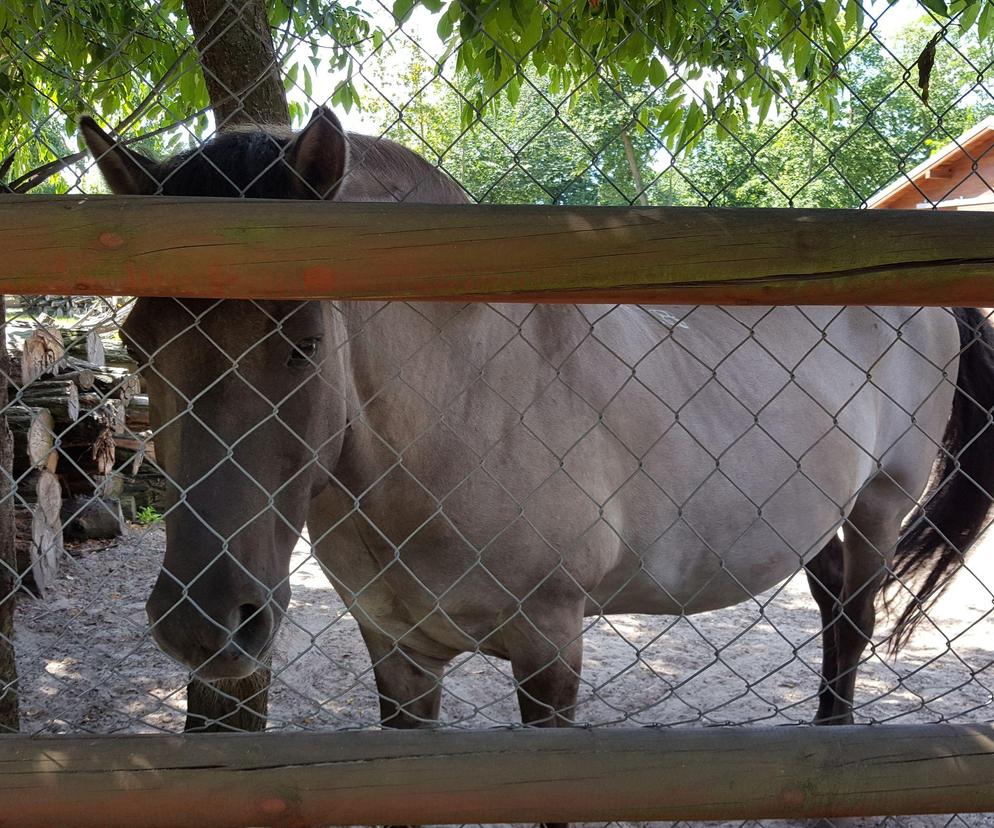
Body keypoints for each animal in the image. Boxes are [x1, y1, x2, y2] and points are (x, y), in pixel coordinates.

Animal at [81, 105, 992, 744]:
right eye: (138, 342)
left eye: (304, 343)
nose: (203, 623)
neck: (459, 410)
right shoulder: (397, 654)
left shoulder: (550, 648)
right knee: (833, 599)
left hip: (879, 503)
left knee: (856, 613)